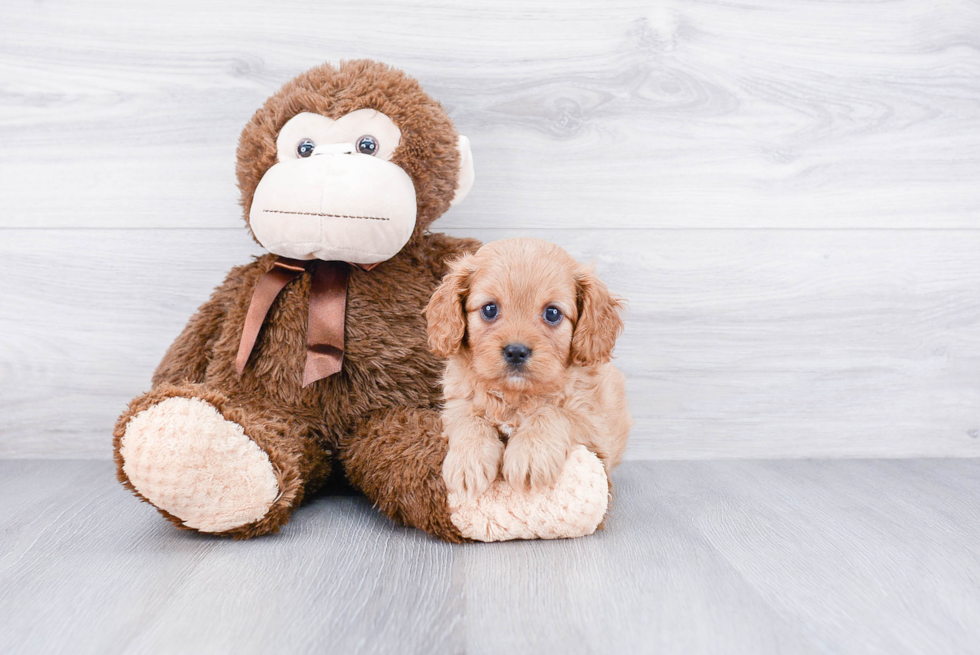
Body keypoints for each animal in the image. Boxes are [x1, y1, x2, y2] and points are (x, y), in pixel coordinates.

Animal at [424, 238, 632, 500]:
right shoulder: (456, 404)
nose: (516, 351)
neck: (515, 395)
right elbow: (469, 418)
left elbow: (552, 412)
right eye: (489, 309)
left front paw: (530, 454)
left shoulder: (595, 428)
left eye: (552, 313)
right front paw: (468, 461)